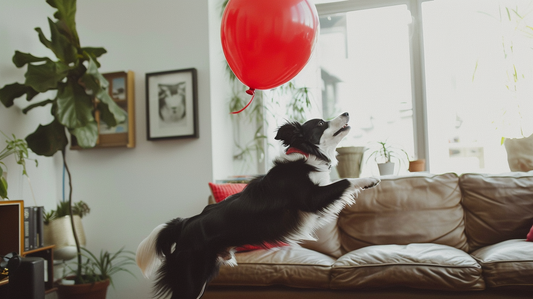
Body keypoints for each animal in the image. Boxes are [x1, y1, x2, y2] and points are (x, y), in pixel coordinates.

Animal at [137, 113, 378, 299]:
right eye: (320, 123)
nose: (346, 113)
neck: (308, 153)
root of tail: (186, 222)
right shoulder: (311, 198)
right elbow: (345, 181)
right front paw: (370, 179)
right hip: (191, 278)